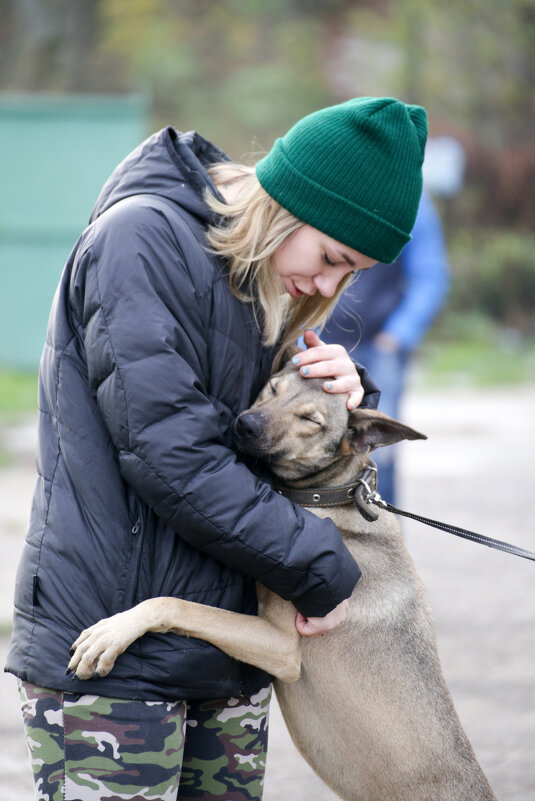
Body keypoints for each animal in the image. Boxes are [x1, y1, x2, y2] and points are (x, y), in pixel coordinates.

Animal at [69, 362, 500, 800]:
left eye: (311, 420)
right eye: (274, 388)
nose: (246, 425)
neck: (331, 495)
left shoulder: (281, 646)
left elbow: (176, 604)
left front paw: (113, 632)